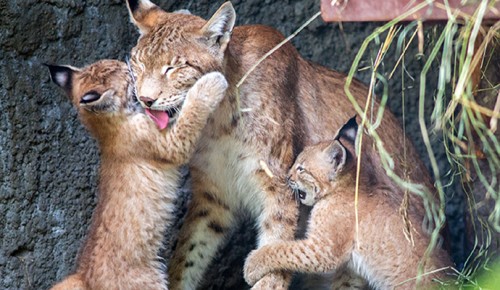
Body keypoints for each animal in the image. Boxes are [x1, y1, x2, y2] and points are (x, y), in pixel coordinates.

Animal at [46, 60, 227, 288]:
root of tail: (84, 275)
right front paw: (210, 83)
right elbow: (189, 114)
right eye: (127, 74)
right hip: (149, 280)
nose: (129, 64)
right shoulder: (172, 144)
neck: (105, 129)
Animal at [244, 117, 452, 290]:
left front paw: (252, 264)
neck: (344, 187)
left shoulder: (322, 249)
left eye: (301, 169)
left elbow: (284, 249)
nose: (288, 176)